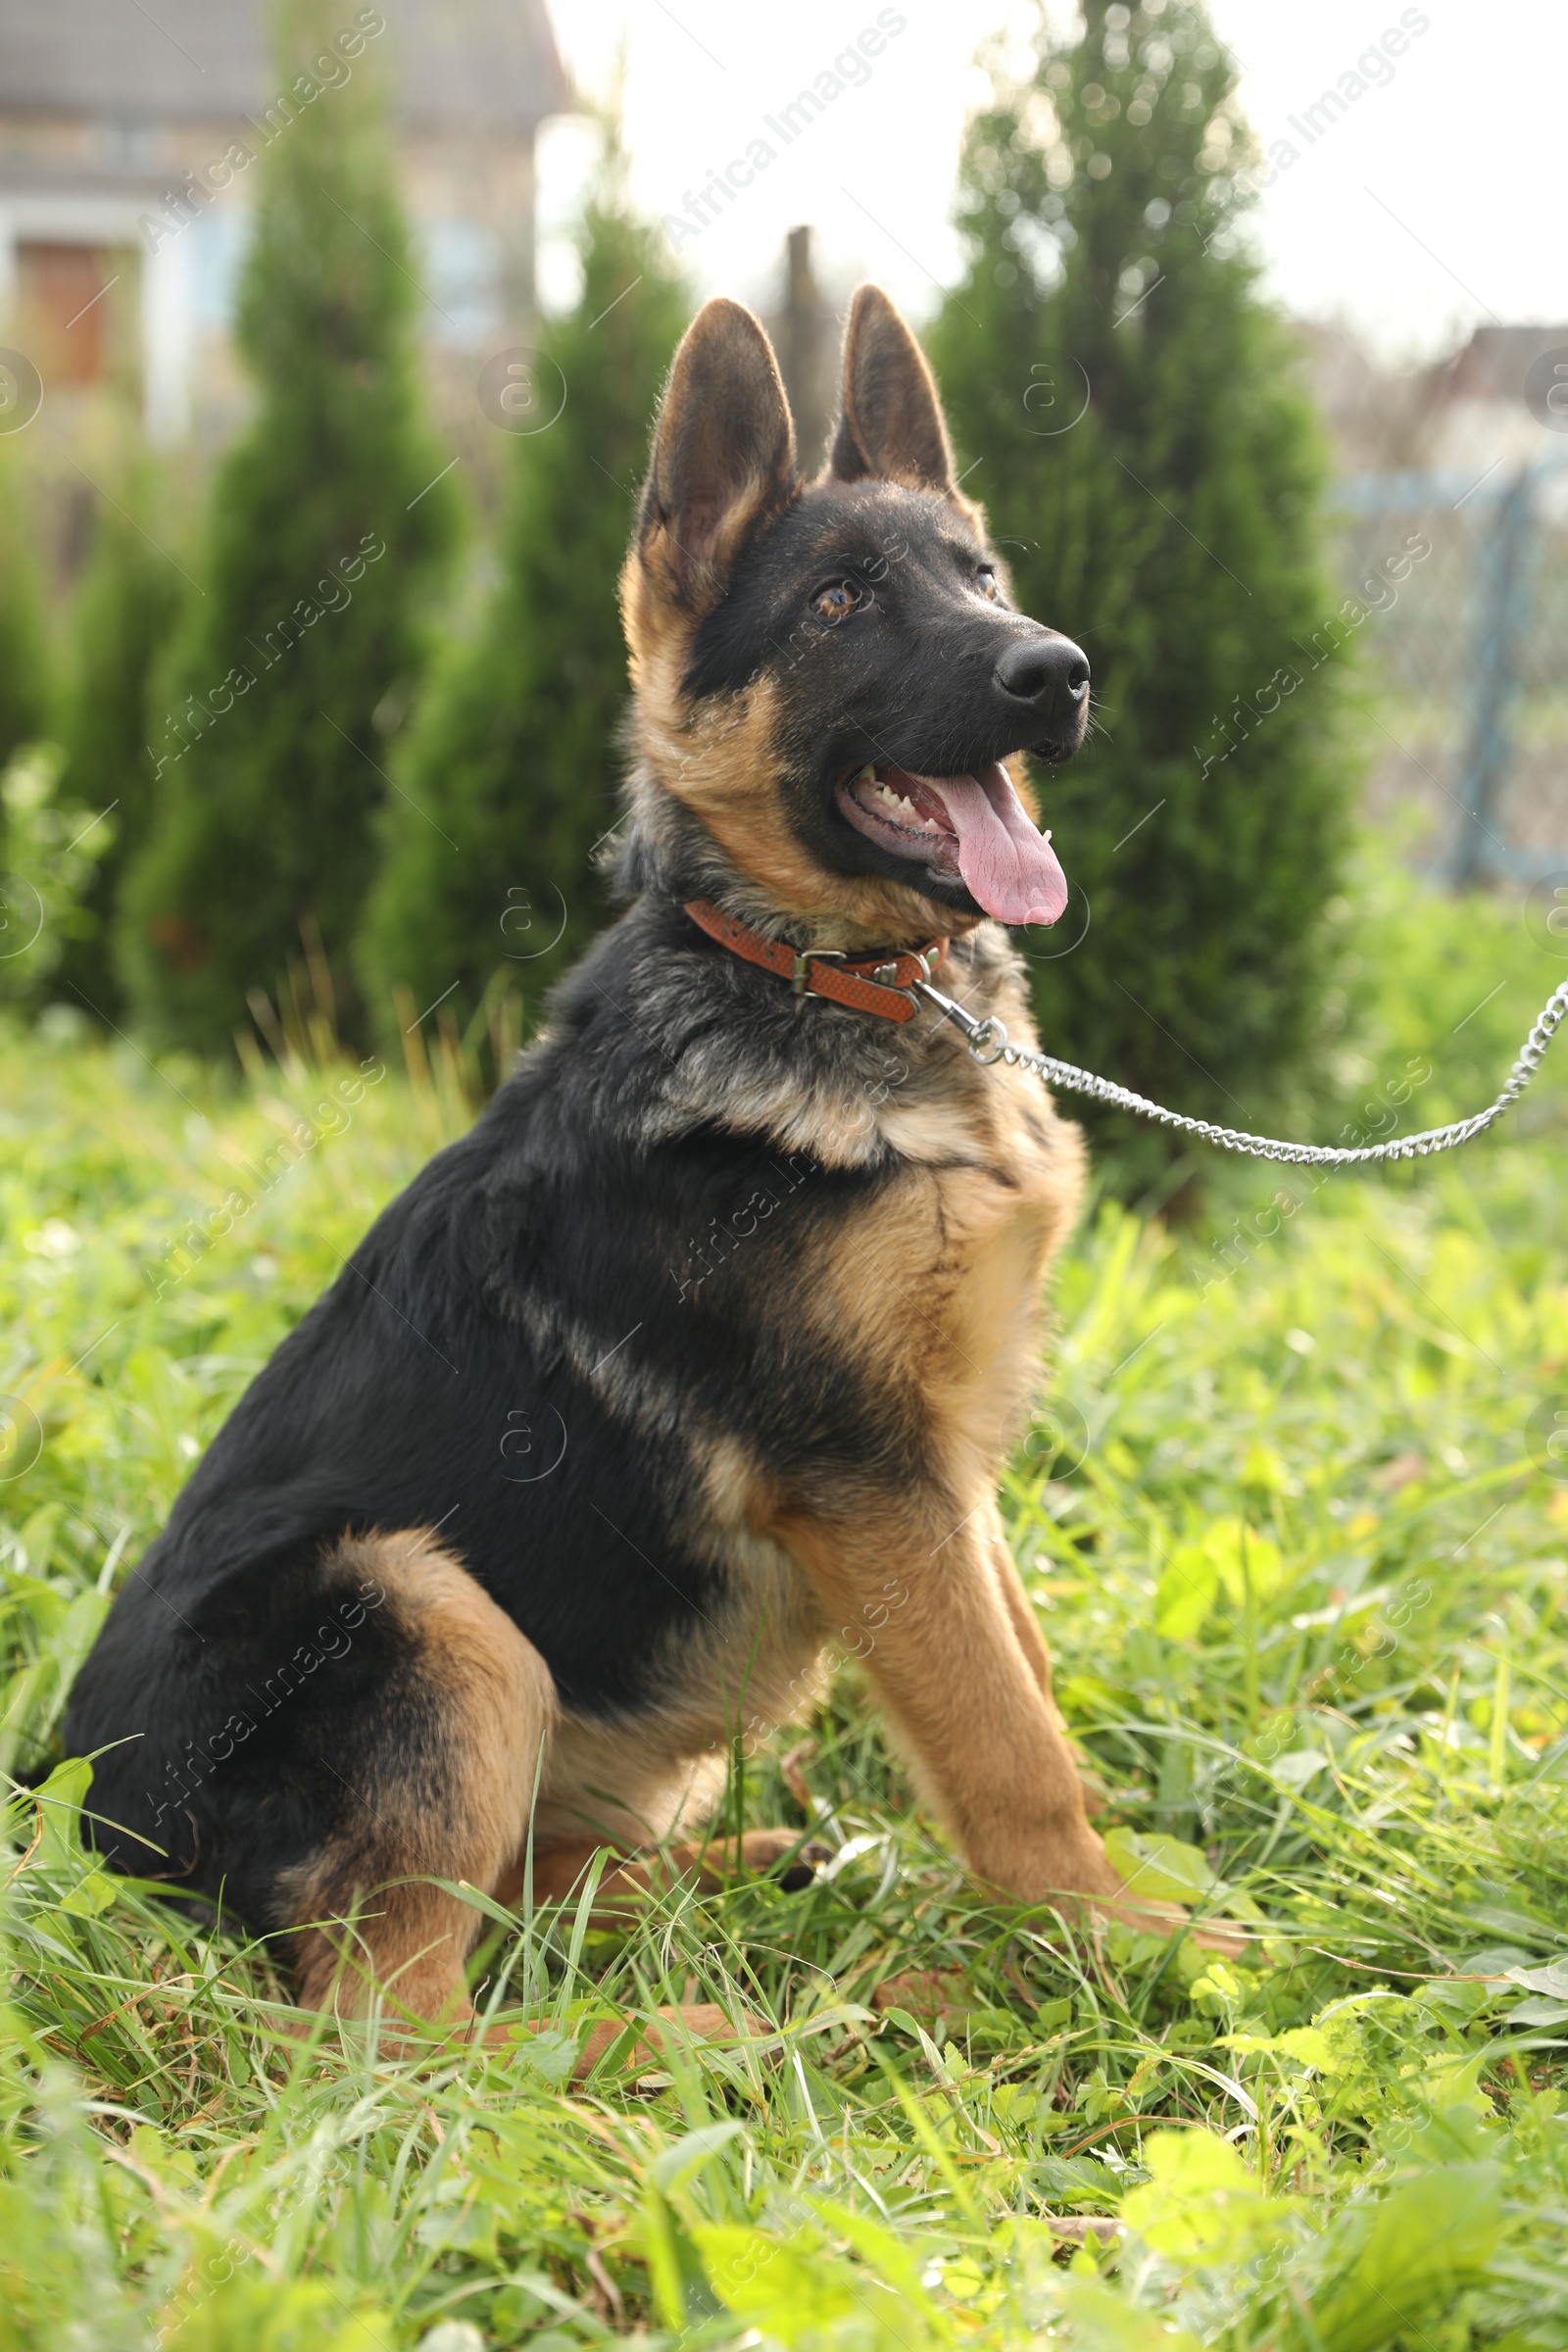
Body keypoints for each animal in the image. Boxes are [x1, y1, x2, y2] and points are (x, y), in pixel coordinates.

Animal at [64, 284, 1165, 2050]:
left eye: (980, 577)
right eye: (840, 601)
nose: (1056, 673)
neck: (821, 981)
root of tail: (85, 1831)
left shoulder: (945, 1478)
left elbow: (1025, 1675)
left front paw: (1119, 1908)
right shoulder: (874, 1480)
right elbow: (1006, 1744)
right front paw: (1129, 1945)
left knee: (532, 1906)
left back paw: (763, 1903)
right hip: (427, 1609)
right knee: (403, 2030)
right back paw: (706, 2040)